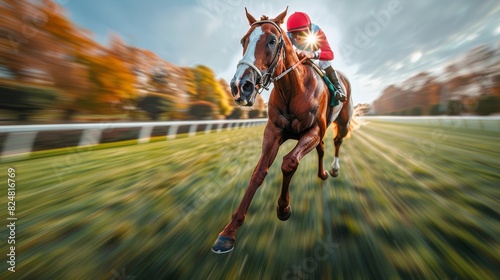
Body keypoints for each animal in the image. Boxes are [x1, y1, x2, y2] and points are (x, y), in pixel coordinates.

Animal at [213, 7, 354, 254]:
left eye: (272, 40)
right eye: (243, 40)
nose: (240, 86)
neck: (293, 87)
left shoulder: (313, 130)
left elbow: (289, 162)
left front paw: (283, 208)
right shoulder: (273, 131)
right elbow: (258, 172)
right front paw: (229, 231)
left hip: (343, 122)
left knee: (337, 142)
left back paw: (334, 169)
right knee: (322, 149)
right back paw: (322, 174)